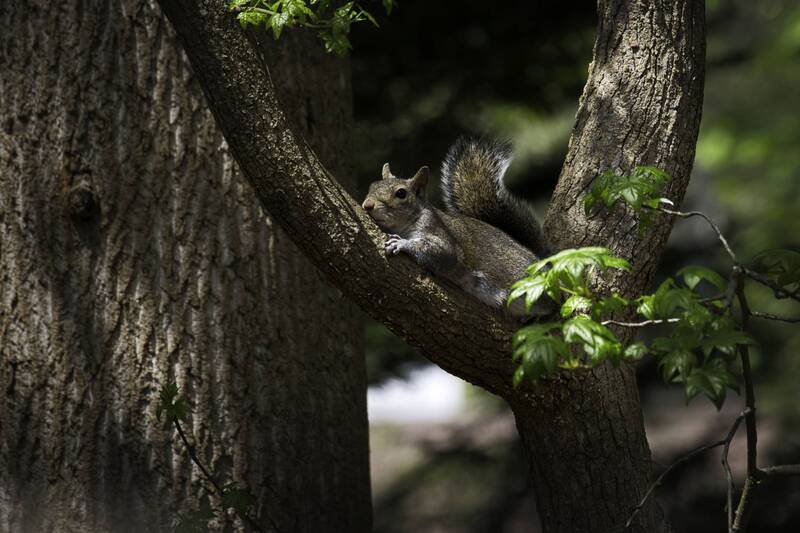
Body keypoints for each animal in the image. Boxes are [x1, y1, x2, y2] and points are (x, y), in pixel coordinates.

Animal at [361, 137, 549, 318]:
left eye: (401, 193)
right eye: (372, 186)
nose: (367, 205)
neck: (401, 225)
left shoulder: (436, 229)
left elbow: (443, 252)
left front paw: (401, 243)